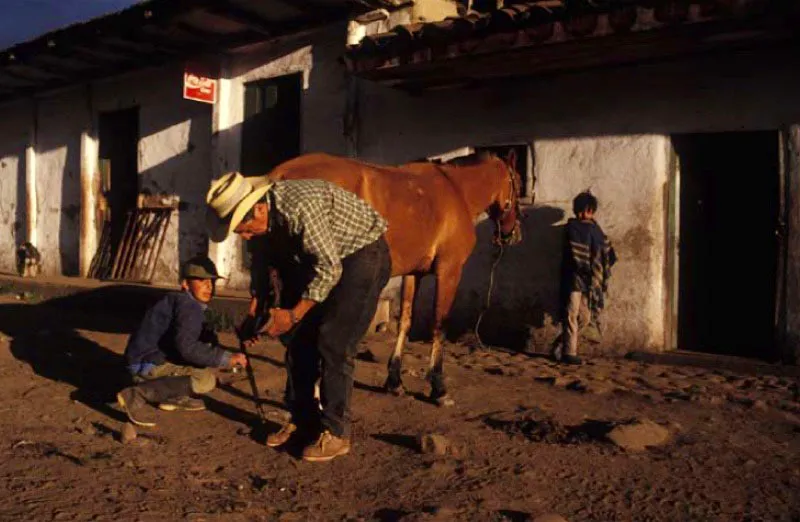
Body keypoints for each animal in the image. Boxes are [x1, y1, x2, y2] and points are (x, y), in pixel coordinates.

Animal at [266, 152, 520, 404]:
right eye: (517, 181)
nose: (512, 234)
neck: (457, 190)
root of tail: (279, 175)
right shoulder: (449, 271)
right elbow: (440, 325)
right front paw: (438, 388)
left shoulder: (413, 274)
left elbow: (405, 322)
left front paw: (395, 381)